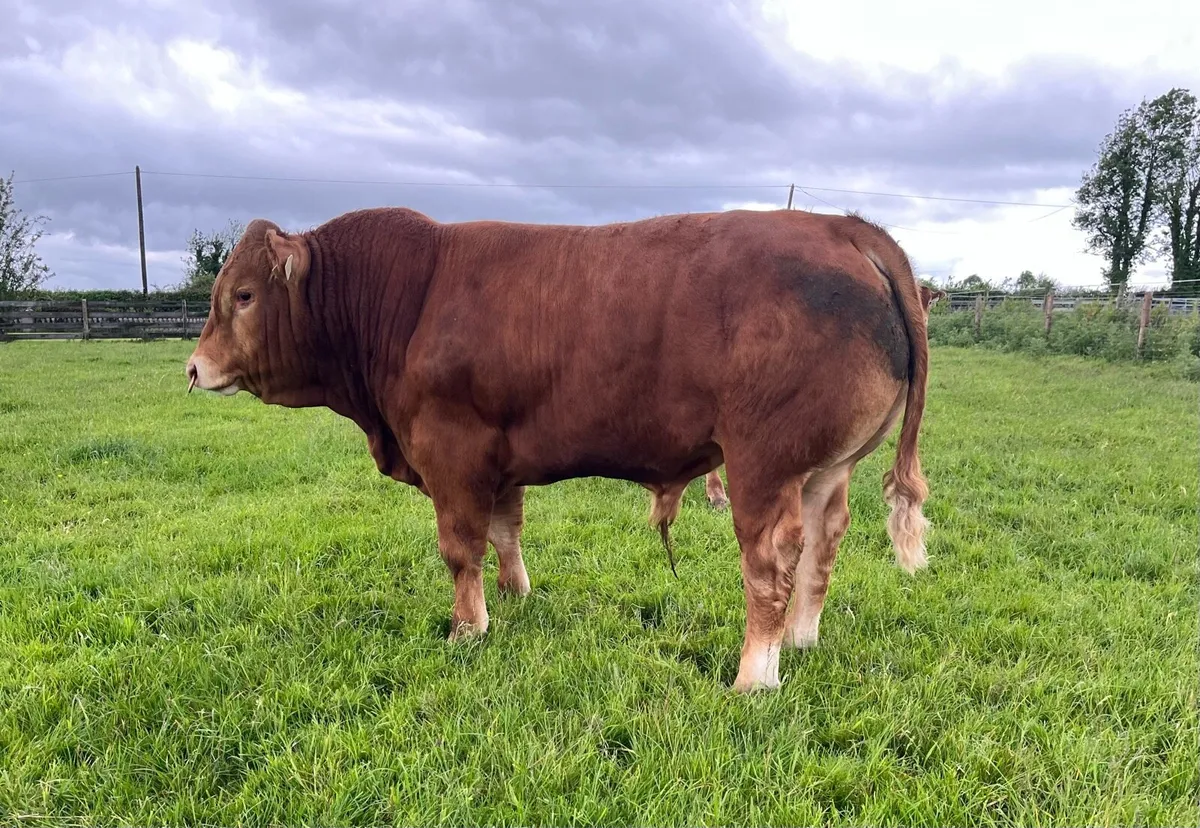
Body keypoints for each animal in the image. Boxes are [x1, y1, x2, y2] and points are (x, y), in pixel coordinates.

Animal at [185, 206, 932, 693]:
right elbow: (504, 531)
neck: (408, 298)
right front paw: (515, 596)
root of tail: (840, 226)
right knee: (823, 547)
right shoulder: (497, 457)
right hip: (825, 468)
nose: (193, 368)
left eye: (244, 295)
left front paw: (468, 628)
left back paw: (756, 676)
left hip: (763, 462)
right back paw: (802, 640)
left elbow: (460, 547)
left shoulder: (450, 452)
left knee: (771, 561)